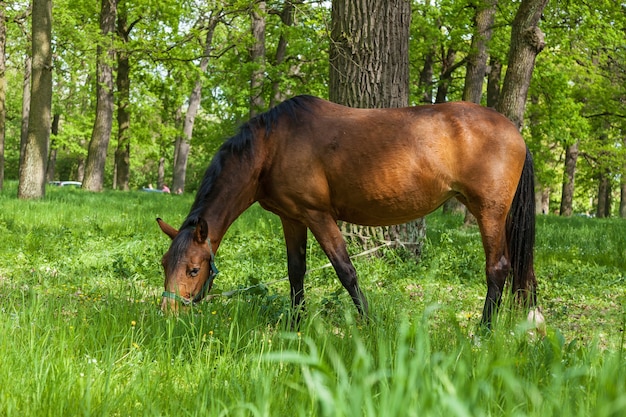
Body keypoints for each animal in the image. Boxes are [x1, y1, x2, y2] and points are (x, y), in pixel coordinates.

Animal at [157, 96, 540, 326]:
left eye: (193, 269)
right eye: (165, 264)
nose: (167, 313)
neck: (272, 146)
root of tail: (515, 133)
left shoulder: (317, 215)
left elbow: (345, 271)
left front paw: (369, 324)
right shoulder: (291, 217)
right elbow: (296, 272)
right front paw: (296, 324)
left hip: (489, 213)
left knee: (498, 269)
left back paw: (483, 332)